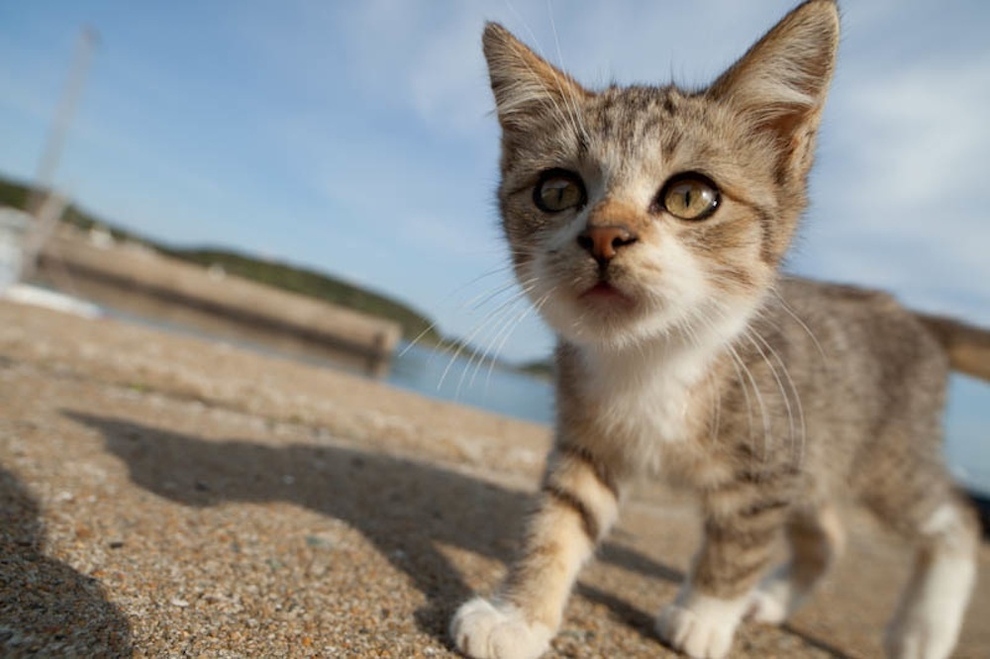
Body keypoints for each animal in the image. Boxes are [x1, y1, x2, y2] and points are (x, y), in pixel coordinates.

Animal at [454, 3, 988, 659]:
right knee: (828, 535)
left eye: (690, 196)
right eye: (556, 191)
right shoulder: (589, 441)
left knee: (955, 521)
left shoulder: (772, 457)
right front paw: (517, 614)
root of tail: (908, 311)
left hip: (884, 457)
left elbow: (741, 541)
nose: (603, 235)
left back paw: (922, 629)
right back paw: (776, 600)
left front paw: (704, 613)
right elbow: (558, 521)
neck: (656, 356)